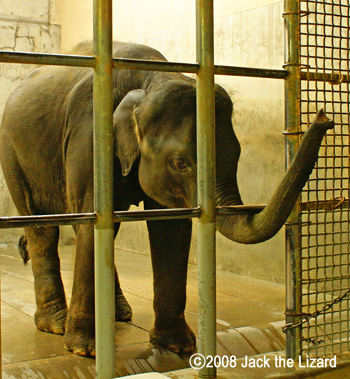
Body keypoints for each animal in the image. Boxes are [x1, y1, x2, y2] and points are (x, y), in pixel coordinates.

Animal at [0, 40, 334, 356]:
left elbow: (169, 230)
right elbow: (92, 224)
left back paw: (118, 314)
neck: (151, 77)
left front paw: (178, 346)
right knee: (42, 228)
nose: (324, 117)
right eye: (180, 162)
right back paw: (55, 324)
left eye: (238, 154)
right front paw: (84, 349)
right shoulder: (89, 136)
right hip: (12, 153)